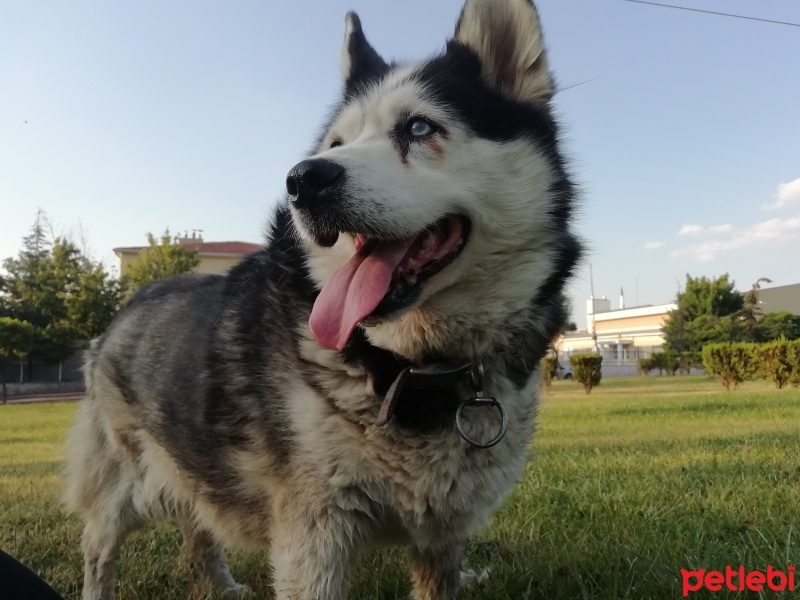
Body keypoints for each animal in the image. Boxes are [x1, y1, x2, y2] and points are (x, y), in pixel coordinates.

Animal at [65, 1, 580, 600]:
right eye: (335, 145)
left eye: (418, 127)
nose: (302, 180)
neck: (413, 367)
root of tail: (125, 308)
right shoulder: (313, 533)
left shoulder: (444, 532)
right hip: (133, 481)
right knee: (99, 543)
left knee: (198, 523)